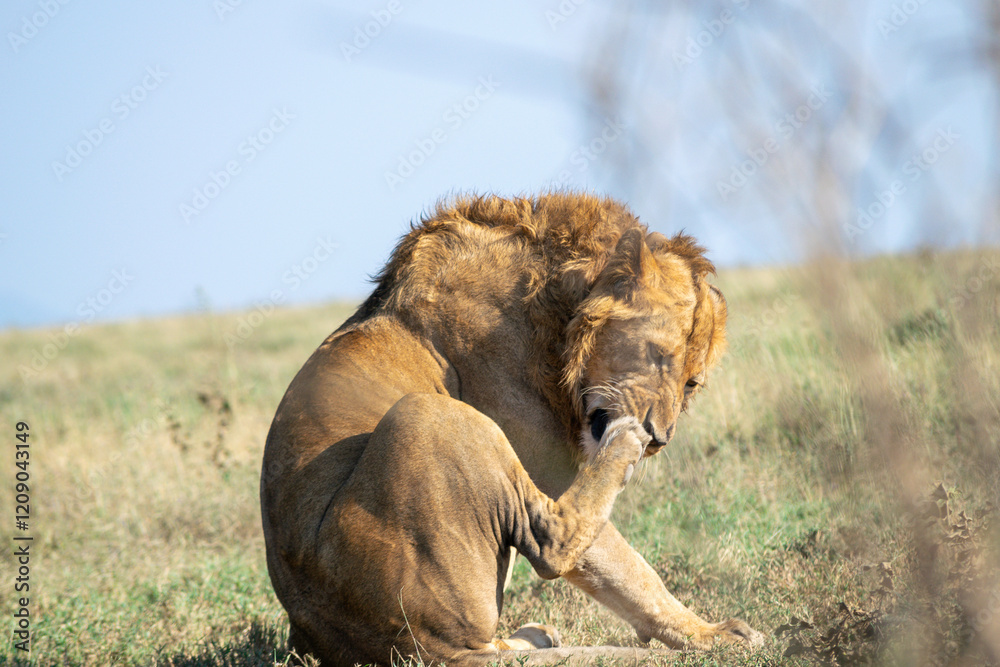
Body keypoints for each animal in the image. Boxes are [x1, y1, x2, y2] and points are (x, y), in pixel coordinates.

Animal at [260, 193, 763, 666]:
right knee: (551, 540)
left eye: (692, 383)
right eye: (658, 355)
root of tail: (426, 649)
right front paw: (710, 635)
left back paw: (533, 636)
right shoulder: (546, 471)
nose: (659, 438)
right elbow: (629, 567)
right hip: (428, 411)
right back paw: (624, 443)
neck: (558, 314)